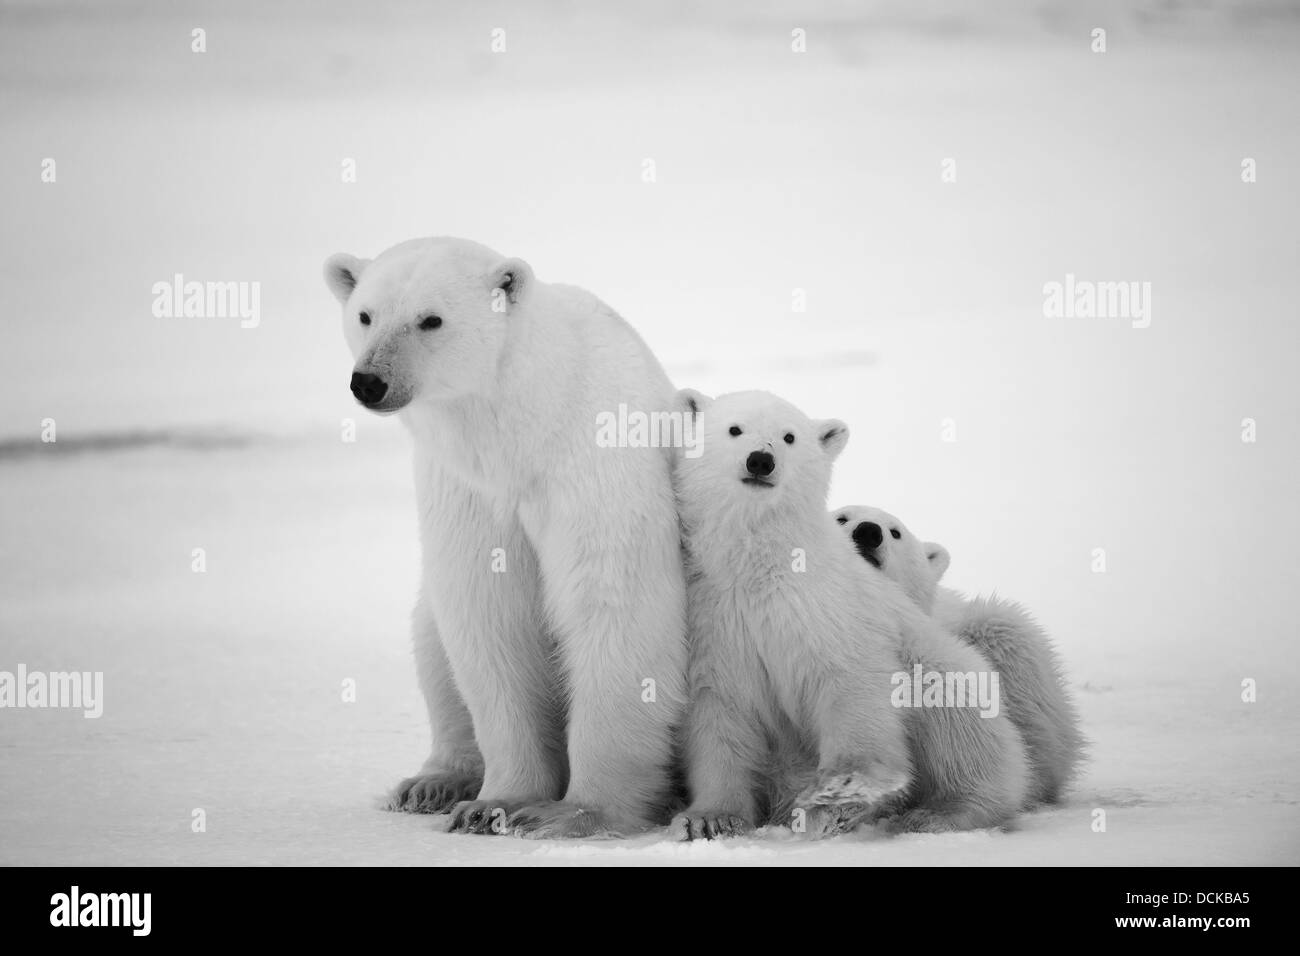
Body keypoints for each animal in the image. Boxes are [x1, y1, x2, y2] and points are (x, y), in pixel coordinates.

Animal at [324, 237, 689, 838]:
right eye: (365, 315)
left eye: (431, 319)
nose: (370, 381)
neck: (524, 428)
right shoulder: (467, 488)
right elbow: (488, 615)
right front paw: (492, 804)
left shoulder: (593, 464)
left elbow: (614, 605)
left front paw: (572, 813)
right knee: (431, 641)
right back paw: (433, 782)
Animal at [668, 389, 1029, 839]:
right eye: (735, 429)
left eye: (789, 437)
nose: (760, 460)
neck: (760, 565)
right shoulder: (715, 616)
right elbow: (720, 711)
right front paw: (709, 819)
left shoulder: (829, 604)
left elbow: (850, 680)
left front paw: (841, 793)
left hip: (938, 659)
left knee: (958, 721)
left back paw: (940, 812)